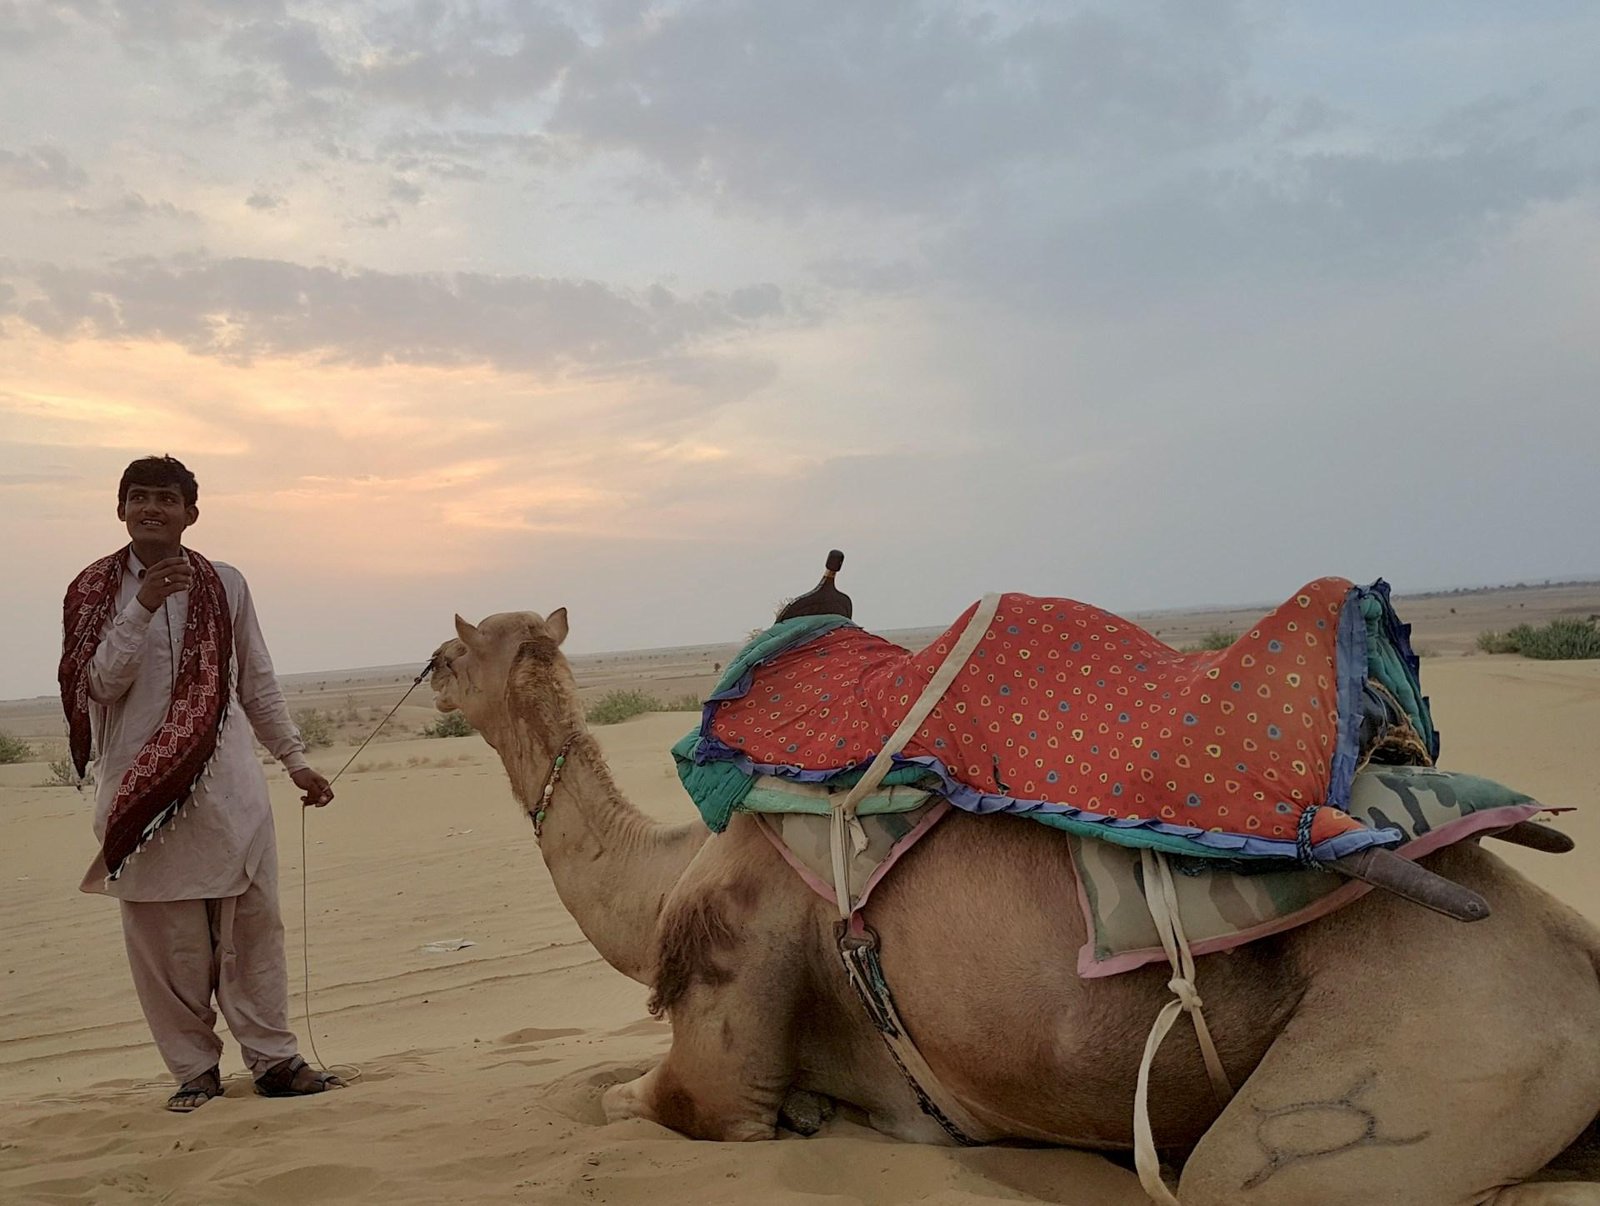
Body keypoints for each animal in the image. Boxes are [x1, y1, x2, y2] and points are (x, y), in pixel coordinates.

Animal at [428, 610, 1600, 1202]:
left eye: (457, 649)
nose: (427, 674)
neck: (673, 867)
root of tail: (1583, 961)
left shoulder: (727, 1041)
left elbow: (632, 1104)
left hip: (1396, 1078)